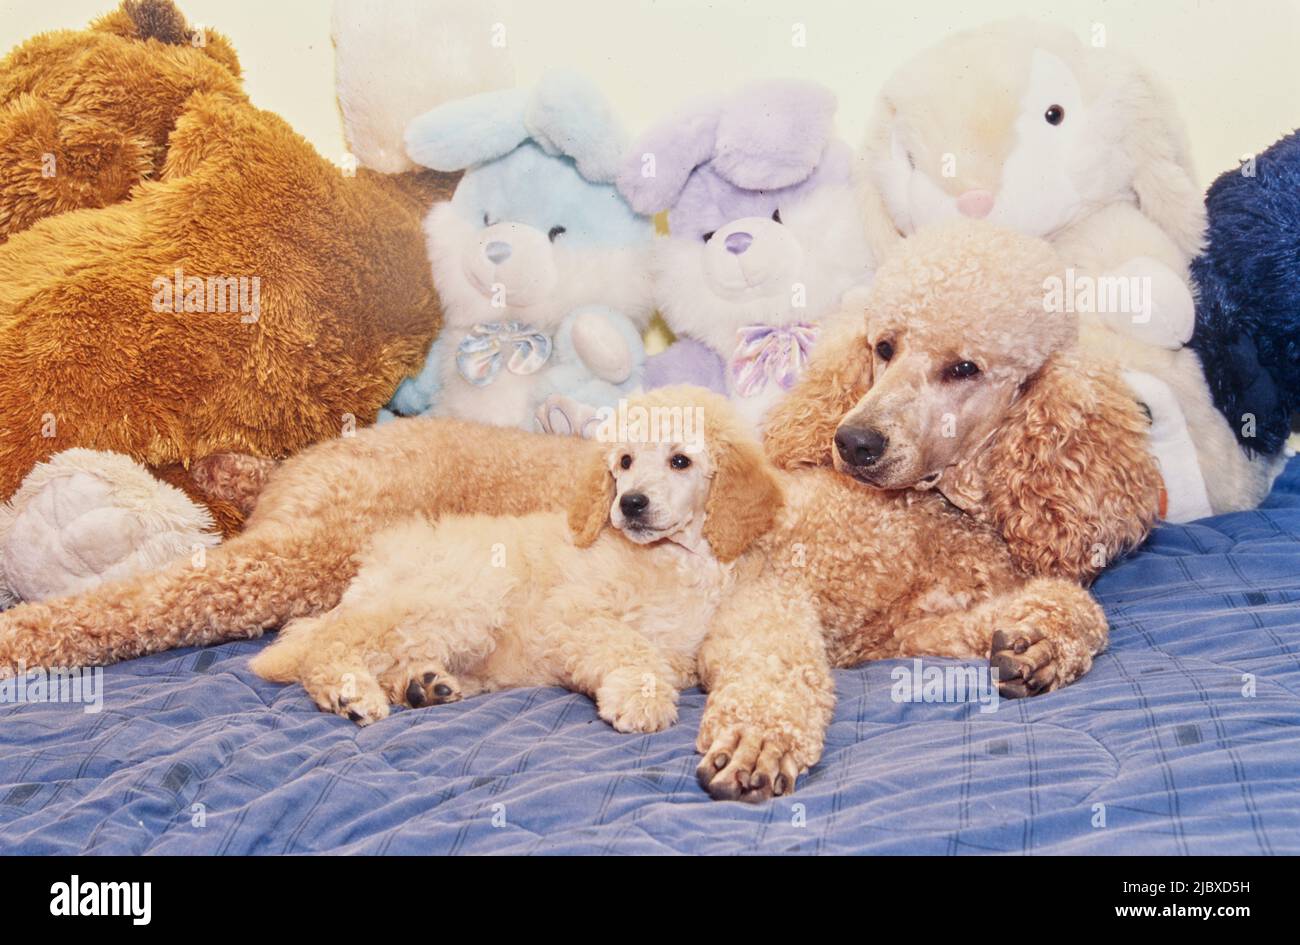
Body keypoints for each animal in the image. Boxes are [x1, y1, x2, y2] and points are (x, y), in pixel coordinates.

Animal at [250, 387, 780, 727]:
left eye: (680, 461)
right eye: (625, 462)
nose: (630, 504)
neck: (670, 559)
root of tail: (374, 564)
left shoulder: (681, 649)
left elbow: (662, 659)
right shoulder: (570, 612)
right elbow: (627, 644)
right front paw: (639, 698)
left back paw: (423, 685)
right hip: (458, 598)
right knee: (330, 641)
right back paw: (349, 691)